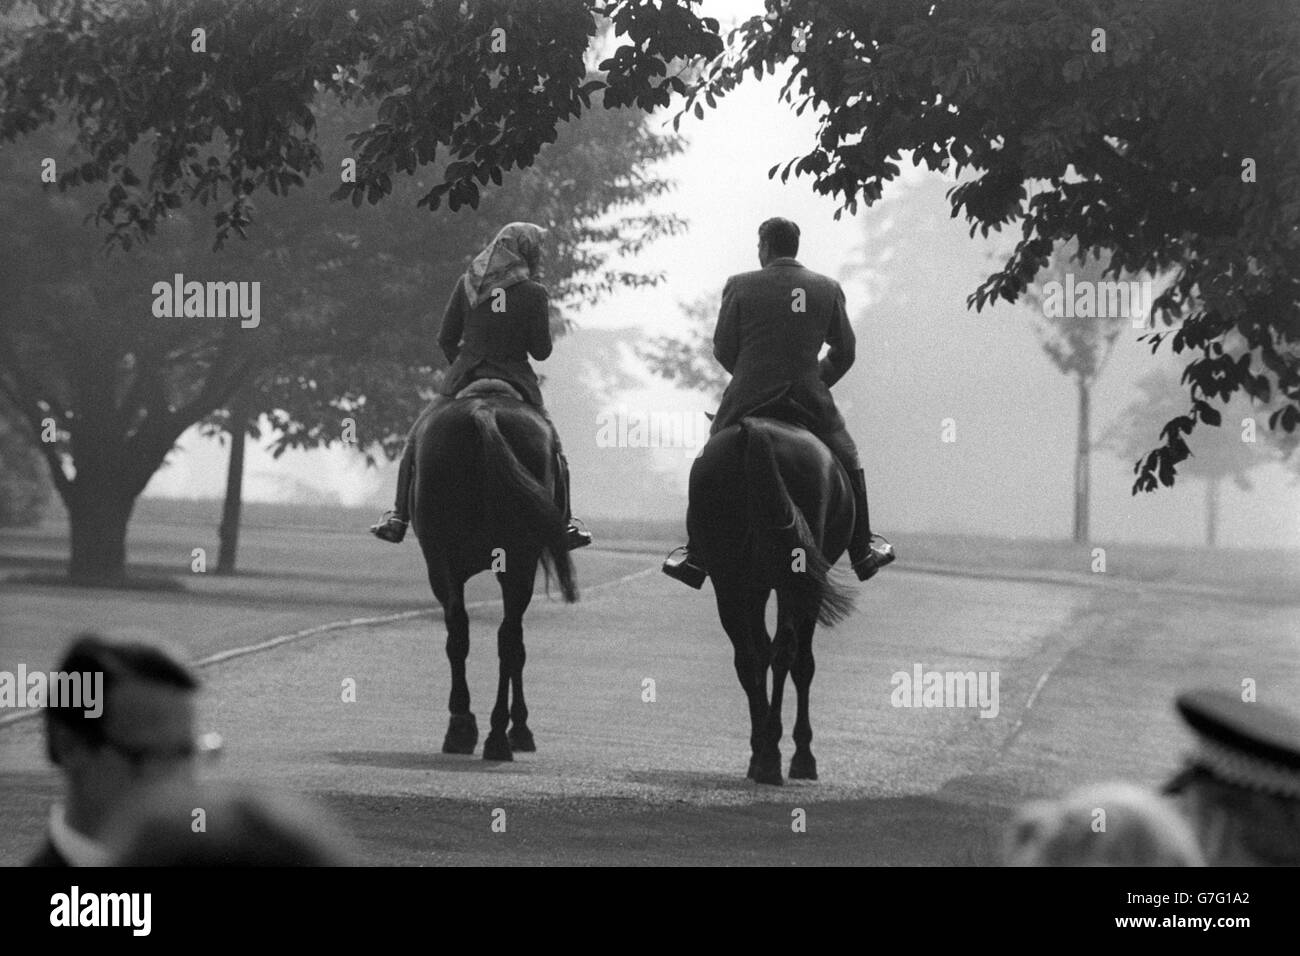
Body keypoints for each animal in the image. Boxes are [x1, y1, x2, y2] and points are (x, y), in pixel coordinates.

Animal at [408, 382, 577, 764]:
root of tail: (484, 413)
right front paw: (520, 727)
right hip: (512, 561)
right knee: (506, 638)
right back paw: (497, 734)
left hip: (444, 560)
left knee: (465, 632)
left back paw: (468, 729)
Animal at [686, 416, 857, 785]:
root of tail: (755, 429)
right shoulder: (805, 585)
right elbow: (802, 662)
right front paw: (801, 755)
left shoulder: (753, 585)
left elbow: (759, 653)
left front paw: (760, 745)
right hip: (791, 580)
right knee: (786, 652)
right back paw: (774, 756)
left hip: (728, 578)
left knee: (749, 657)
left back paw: (763, 753)